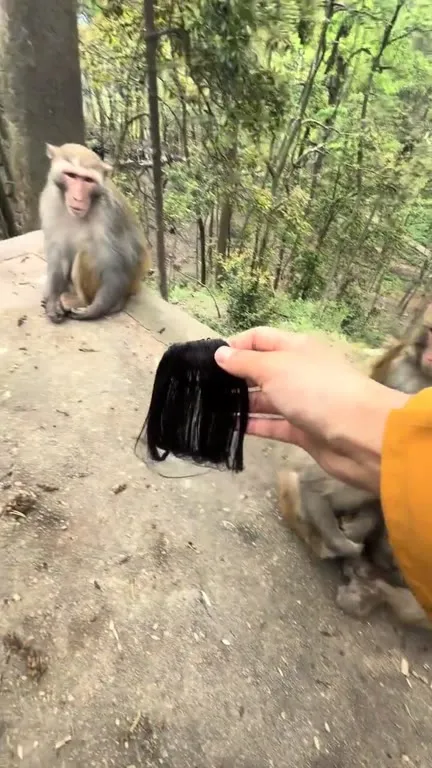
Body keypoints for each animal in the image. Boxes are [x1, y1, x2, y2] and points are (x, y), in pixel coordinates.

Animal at [39, 143, 151, 323]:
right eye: (71, 175)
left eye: (88, 180)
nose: (77, 198)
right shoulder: (49, 201)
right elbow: (58, 252)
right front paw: (52, 301)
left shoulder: (110, 212)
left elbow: (119, 261)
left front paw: (97, 309)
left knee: (88, 253)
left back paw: (81, 301)